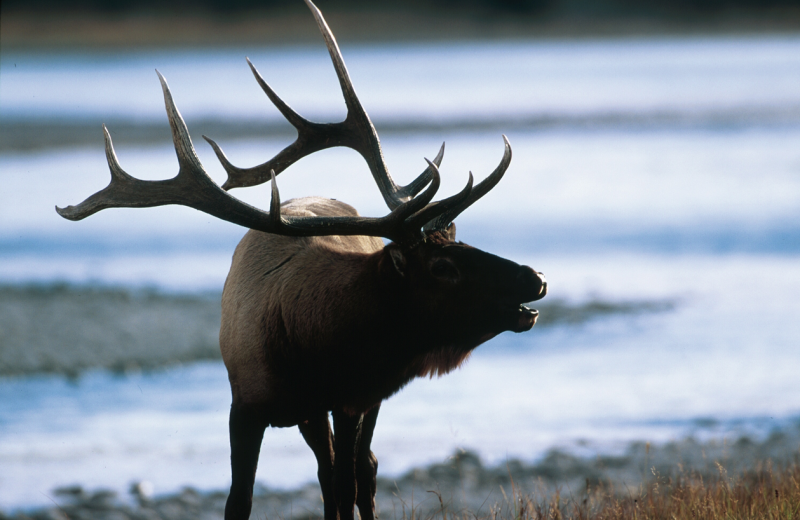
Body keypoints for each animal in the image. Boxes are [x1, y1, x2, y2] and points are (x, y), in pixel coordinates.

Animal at [54, 1, 544, 520]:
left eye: (461, 244)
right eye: (442, 268)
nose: (535, 277)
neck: (309, 347)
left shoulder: (352, 397)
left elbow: (347, 483)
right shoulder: (246, 406)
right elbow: (242, 499)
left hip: (361, 399)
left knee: (362, 469)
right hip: (316, 412)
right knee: (333, 471)